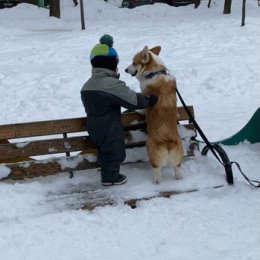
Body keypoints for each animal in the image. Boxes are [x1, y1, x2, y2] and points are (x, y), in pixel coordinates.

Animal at [125, 45, 184, 183]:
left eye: (134, 63)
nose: (125, 70)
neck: (155, 72)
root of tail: (168, 142)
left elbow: (143, 106)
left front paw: (138, 110)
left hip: (150, 150)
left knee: (157, 171)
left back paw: (155, 181)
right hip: (178, 155)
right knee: (177, 169)